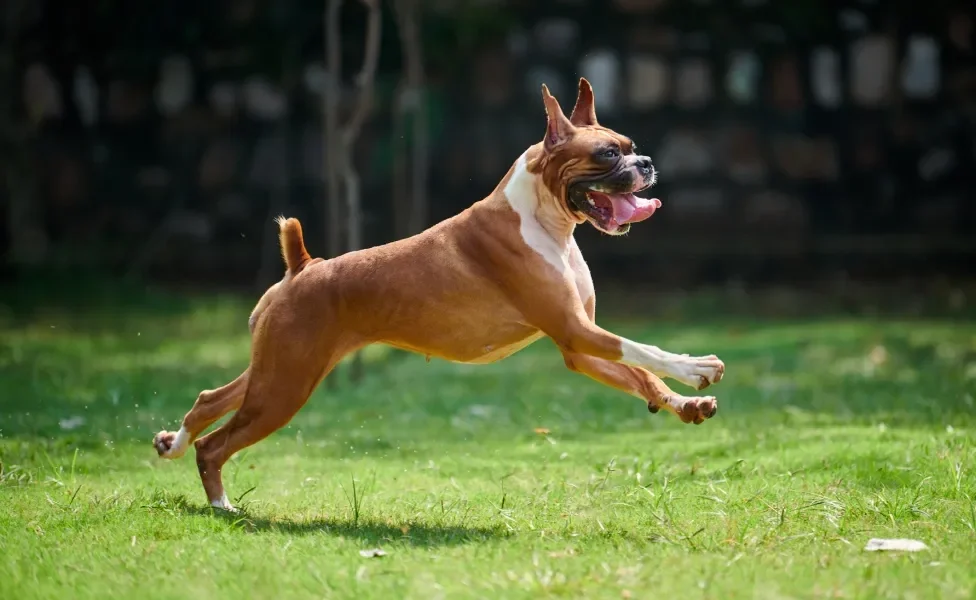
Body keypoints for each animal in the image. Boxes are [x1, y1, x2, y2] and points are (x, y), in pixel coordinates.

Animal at [152, 78, 724, 510]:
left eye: (631, 146)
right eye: (607, 154)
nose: (646, 163)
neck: (546, 218)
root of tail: (303, 268)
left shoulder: (577, 347)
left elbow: (642, 375)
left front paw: (685, 403)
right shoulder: (576, 331)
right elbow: (645, 350)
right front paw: (696, 366)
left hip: (275, 371)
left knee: (209, 400)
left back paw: (173, 444)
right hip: (284, 388)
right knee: (217, 443)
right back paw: (223, 505)